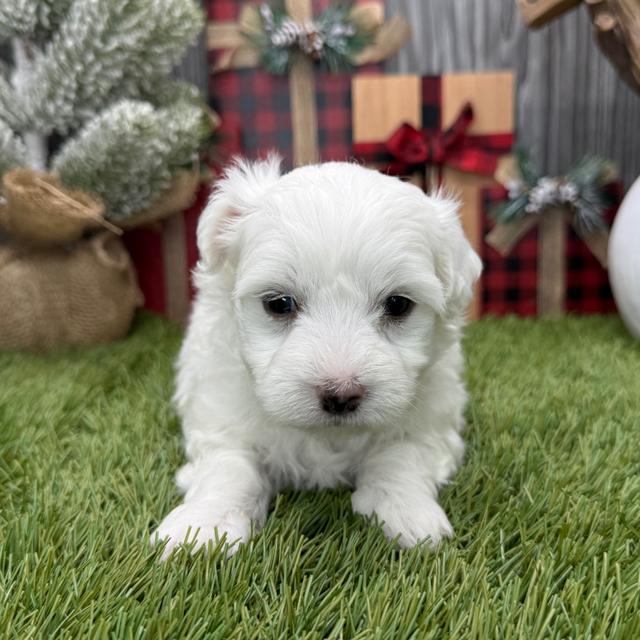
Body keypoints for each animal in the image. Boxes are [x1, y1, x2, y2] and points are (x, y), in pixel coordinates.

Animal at [154, 160, 480, 560]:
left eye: (398, 304)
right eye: (279, 303)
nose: (341, 394)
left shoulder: (432, 420)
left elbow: (401, 459)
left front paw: (409, 513)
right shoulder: (221, 417)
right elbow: (229, 468)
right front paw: (204, 525)